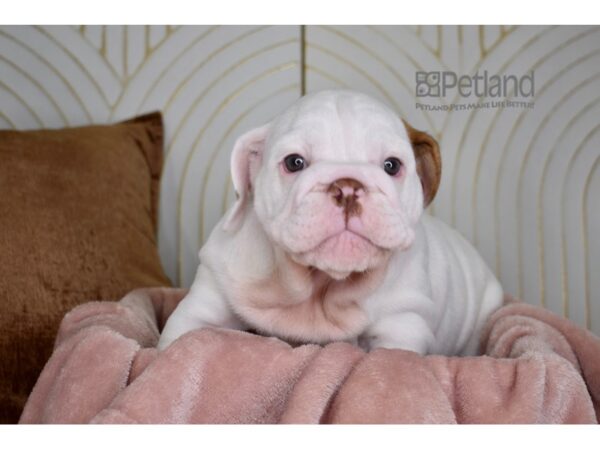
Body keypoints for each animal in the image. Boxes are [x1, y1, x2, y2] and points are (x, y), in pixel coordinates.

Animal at [158, 89, 502, 356]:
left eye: (392, 166)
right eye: (294, 162)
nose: (347, 186)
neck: (319, 288)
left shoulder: (403, 324)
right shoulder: (203, 302)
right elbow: (178, 341)